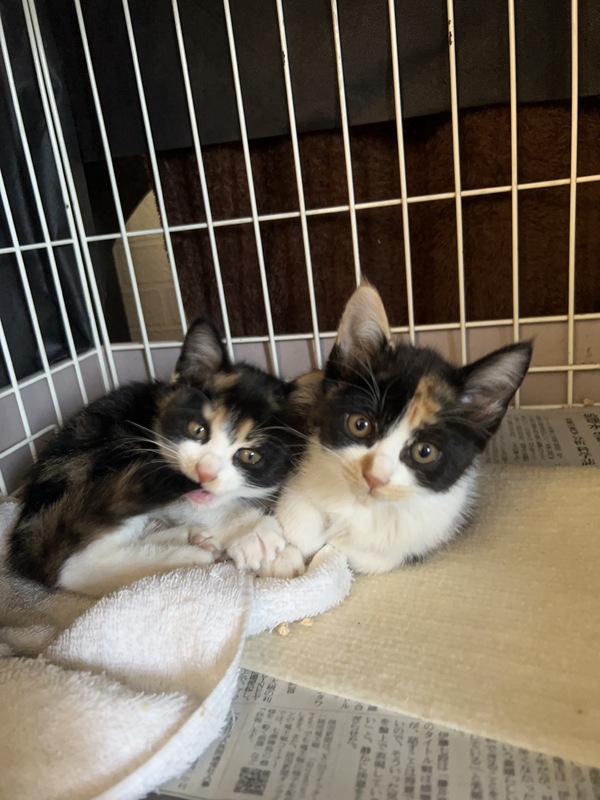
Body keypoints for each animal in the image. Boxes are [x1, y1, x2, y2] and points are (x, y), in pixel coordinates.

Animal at [8, 318, 301, 595]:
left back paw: (190, 536)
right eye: (197, 429)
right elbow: (190, 502)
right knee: (76, 567)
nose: (204, 472)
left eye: (250, 456)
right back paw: (187, 553)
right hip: (103, 456)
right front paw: (252, 531)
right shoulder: (158, 469)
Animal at [262, 284, 532, 578]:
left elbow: (371, 557)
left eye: (425, 451)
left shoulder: (430, 530)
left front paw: (329, 551)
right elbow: (297, 520)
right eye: (360, 424)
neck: (360, 507)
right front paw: (283, 557)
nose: (374, 477)